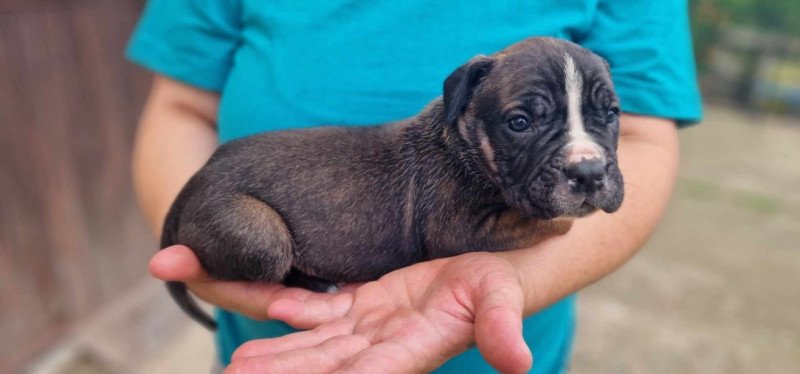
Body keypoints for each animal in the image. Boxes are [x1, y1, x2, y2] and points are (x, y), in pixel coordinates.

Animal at [161, 38, 624, 328]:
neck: (462, 141)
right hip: (259, 234)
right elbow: (542, 222)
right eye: (520, 123)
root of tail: (193, 184)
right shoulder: (464, 231)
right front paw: (563, 219)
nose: (588, 172)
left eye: (611, 114)